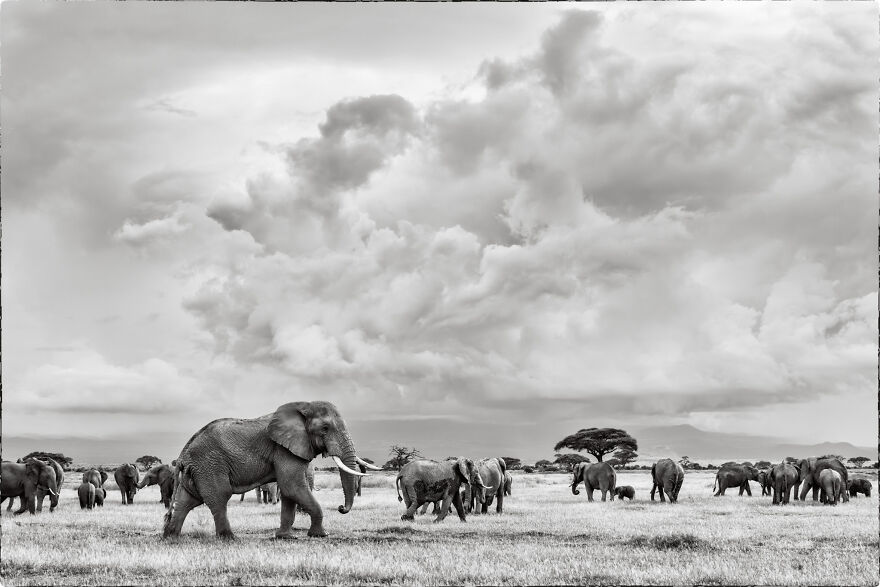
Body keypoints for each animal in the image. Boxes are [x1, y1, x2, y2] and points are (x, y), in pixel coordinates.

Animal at [163, 401, 378, 540]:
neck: (304, 406)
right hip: (209, 465)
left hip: (196, 471)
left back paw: (170, 537)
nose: (341, 508)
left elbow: (290, 492)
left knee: (186, 501)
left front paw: (285, 537)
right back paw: (230, 538)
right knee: (219, 498)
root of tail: (184, 454)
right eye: (325, 428)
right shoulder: (283, 449)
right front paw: (320, 535)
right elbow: (292, 486)